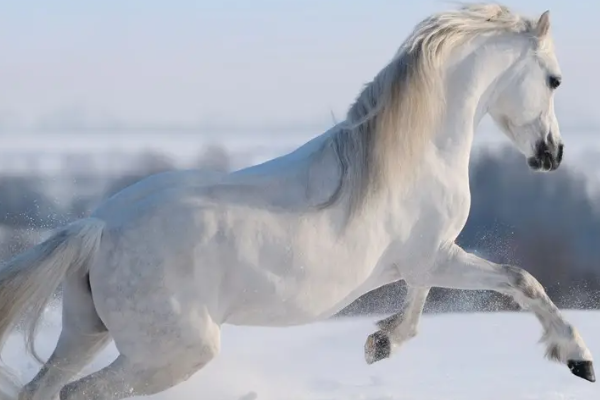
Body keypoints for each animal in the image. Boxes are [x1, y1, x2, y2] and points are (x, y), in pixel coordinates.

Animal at [0, 3, 596, 400]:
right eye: (554, 79)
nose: (553, 153)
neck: (413, 153)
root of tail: (99, 227)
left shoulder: (424, 259)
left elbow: (420, 301)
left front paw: (381, 342)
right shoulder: (437, 255)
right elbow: (522, 281)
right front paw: (577, 358)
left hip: (84, 332)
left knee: (41, 389)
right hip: (171, 353)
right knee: (80, 394)